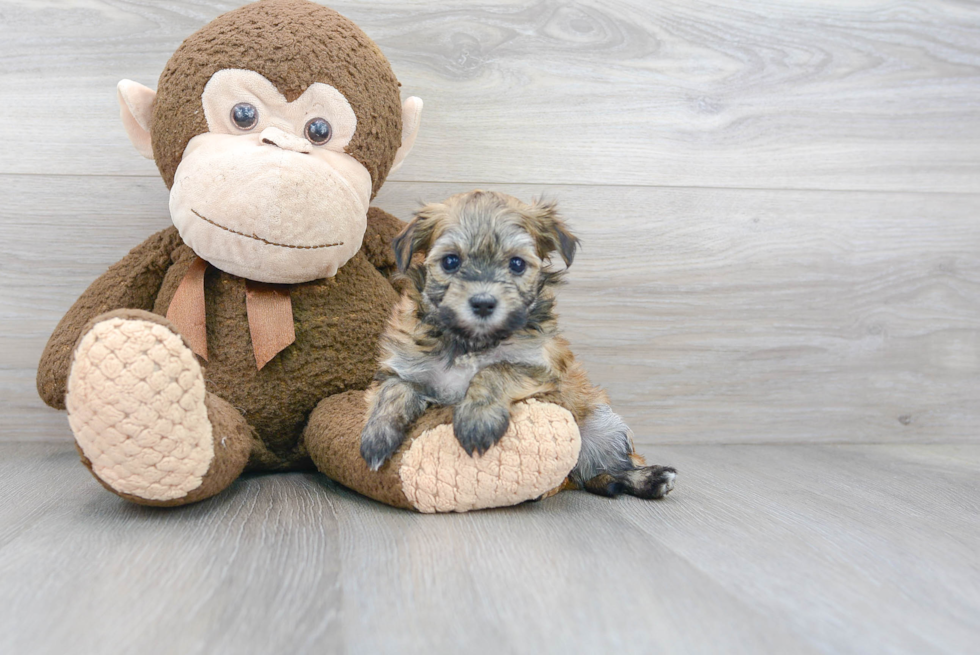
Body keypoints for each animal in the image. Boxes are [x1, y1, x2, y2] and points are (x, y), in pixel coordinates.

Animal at [358, 192, 672, 500]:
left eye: (517, 264)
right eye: (450, 262)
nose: (483, 303)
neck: (471, 343)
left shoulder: (541, 370)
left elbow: (496, 370)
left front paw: (476, 420)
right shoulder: (406, 365)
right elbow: (393, 391)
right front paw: (377, 436)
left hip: (603, 426)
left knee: (609, 466)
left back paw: (649, 479)